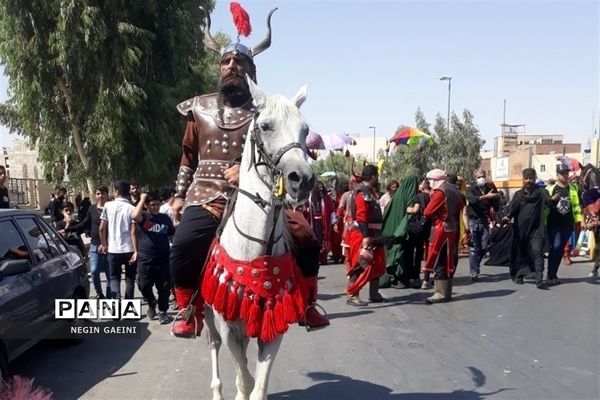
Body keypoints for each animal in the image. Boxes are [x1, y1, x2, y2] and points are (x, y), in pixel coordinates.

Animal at [202, 77, 314, 400]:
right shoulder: (228, 324)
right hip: (208, 316)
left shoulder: (273, 325)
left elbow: (258, 386)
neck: (255, 249)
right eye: (265, 126)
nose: (302, 179)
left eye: (306, 130)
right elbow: (245, 379)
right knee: (213, 345)